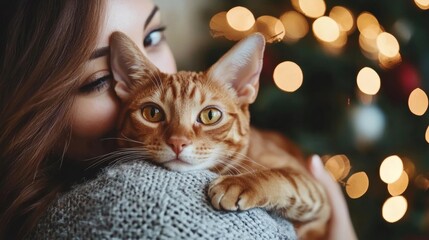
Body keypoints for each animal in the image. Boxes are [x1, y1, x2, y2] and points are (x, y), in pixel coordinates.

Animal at [109, 31, 328, 238]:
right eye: (152, 113)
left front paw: (240, 183)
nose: (178, 143)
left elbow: (284, 177)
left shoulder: (315, 190)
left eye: (210, 115)